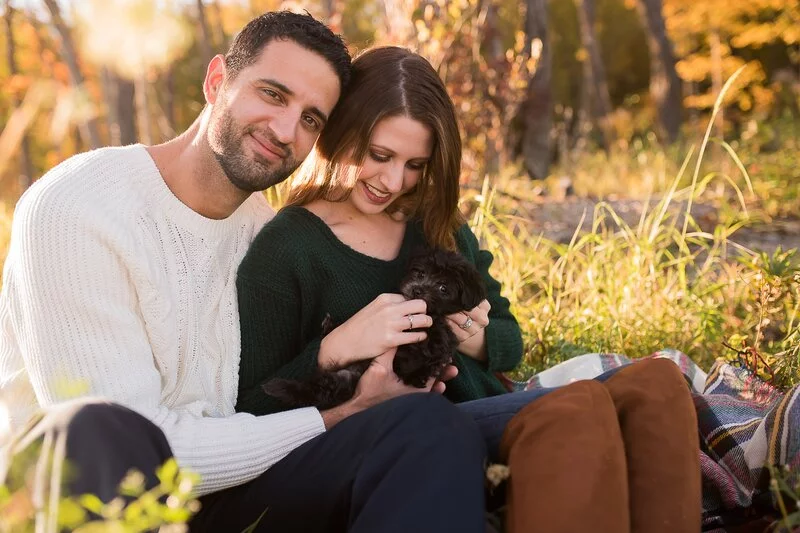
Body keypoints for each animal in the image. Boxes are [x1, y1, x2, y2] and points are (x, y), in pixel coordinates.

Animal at [264, 247, 488, 410]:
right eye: (420, 273)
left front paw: (420, 373)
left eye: (443, 288)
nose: (417, 290)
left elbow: (434, 353)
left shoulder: (442, 341)